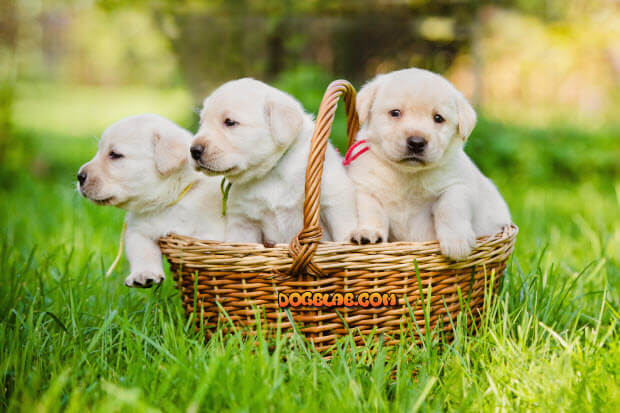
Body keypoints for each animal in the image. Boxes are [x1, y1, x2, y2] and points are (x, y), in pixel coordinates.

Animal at [77, 112, 226, 286]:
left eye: (115, 155)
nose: (79, 176)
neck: (168, 201)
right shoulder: (138, 230)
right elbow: (142, 251)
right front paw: (143, 275)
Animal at [189, 79, 356, 243]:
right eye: (201, 123)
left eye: (230, 122)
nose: (194, 151)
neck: (270, 172)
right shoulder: (243, 222)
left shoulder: (335, 199)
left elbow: (343, 230)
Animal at [346, 69, 512, 260]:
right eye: (395, 112)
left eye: (438, 118)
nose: (416, 142)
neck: (407, 174)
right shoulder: (365, 187)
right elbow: (371, 211)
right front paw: (367, 232)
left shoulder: (458, 185)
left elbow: (450, 207)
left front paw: (457, 242)